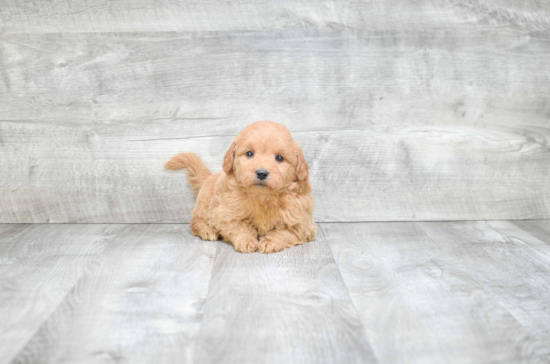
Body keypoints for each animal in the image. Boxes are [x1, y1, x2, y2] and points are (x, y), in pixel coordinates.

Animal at [166, 121, 316, 252]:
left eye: (279, 158)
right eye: (249, 153)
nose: (261, 173)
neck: (263, 197)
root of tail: (209, 176)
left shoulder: (303, 225)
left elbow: (284, 233)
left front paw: (269, 243)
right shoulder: (227, 215)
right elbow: (241, 227)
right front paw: (247, 241)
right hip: (204, 203)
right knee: (196, 222)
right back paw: (208, 231)